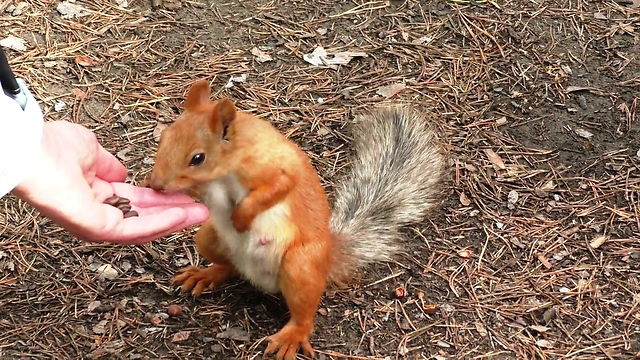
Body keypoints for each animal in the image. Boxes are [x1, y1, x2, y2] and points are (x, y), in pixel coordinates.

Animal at [145, 79, 444, 360]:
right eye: (164, 138)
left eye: (198, 158)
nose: (156, 184)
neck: (226, 168)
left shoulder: (274, 168)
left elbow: (276, 189)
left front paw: (241, 218)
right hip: (208, 238)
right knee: (229, 266)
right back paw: (206, 274)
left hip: (300, 266)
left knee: (303, 313)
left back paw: (292, 336)